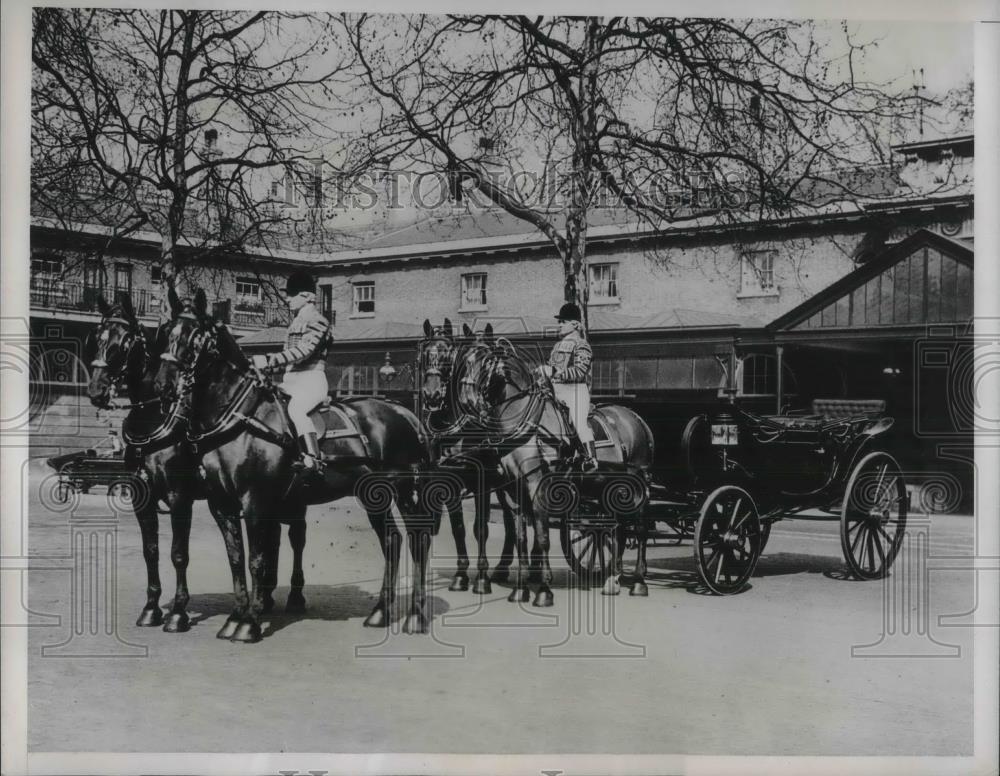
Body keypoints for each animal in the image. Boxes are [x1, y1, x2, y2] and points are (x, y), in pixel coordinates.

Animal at [154, 288, 436, 640]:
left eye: (195, 338)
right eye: (167, 333)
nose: (163, 387)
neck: (240, 417)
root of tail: (405, 412)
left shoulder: (255, 501)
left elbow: (257, 560)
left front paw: (249, 624)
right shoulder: (222, 505)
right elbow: (236, 559)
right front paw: (235, 617)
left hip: (404, 491)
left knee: (417, 539)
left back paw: (416, 616)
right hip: (374, 496)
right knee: (392, 541)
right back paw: (381, 613)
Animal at [456, 330, 656, 604]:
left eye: (486, 361)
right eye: (465, 359)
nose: (466, 400)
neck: (523, 421)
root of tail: (635, 418)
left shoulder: (537, 486)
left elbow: (542, 538)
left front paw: (543, 590)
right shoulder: (515, 491)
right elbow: (521, 537)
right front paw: (520, 589)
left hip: (637, 491)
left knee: (641, 528)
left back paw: (638, 581)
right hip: (611, 493)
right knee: (619, 531)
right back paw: (611, 581)